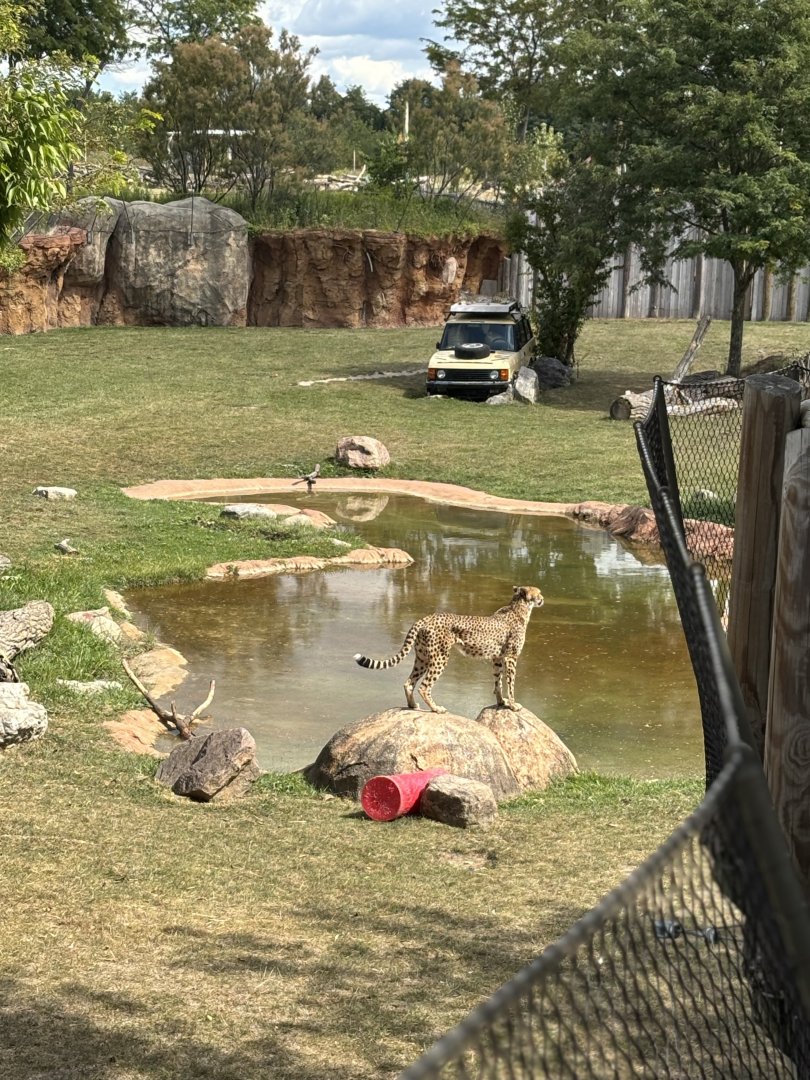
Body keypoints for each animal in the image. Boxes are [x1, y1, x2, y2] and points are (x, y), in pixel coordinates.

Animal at [353, 585, 544, 714]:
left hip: (423, 658)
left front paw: (501, 702)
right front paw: (513, 705)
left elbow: (498, 682)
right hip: (440, 657)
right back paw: (436, 708)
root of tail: (426, 617)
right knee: (424, 686)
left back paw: (412, 706)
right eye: (539, 593)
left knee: (409, 682)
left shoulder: (497, 658)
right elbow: (510, 683)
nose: (543, 599)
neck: (518, 607)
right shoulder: (511, 657)